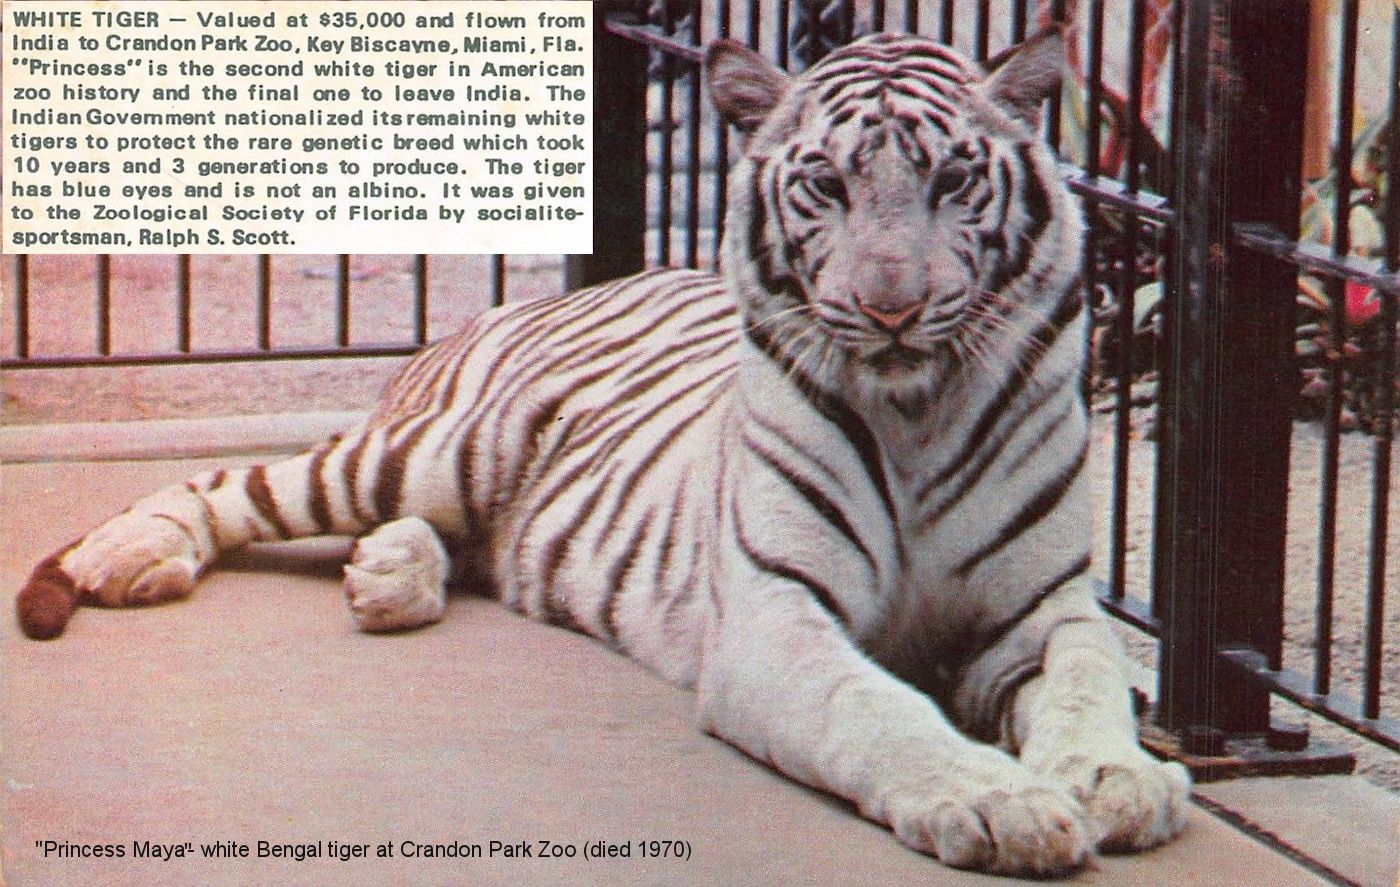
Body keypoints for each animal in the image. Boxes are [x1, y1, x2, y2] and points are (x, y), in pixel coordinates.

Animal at [16, 31, 1187, 873]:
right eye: (824, 186)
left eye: (952, 182)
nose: (889, 309)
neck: (916, 410)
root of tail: (529, 301)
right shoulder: (775, 619)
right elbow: (880, 711)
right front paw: (998, 798)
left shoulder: (1044, 610)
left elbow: (1087, 679)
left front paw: (1116, 778)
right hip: (435, 448)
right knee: (235, 483)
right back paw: (130, 556)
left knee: (452, 543)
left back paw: (388, 576)